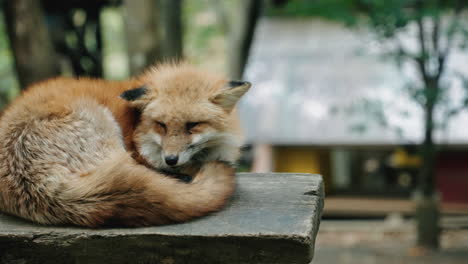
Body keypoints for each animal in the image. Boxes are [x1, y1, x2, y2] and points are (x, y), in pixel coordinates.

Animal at [0, 62, 250, 227]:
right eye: (161, 125)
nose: (170, 159)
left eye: (193, 125)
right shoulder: (140, 153)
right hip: (105, 127)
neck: (137, 125)